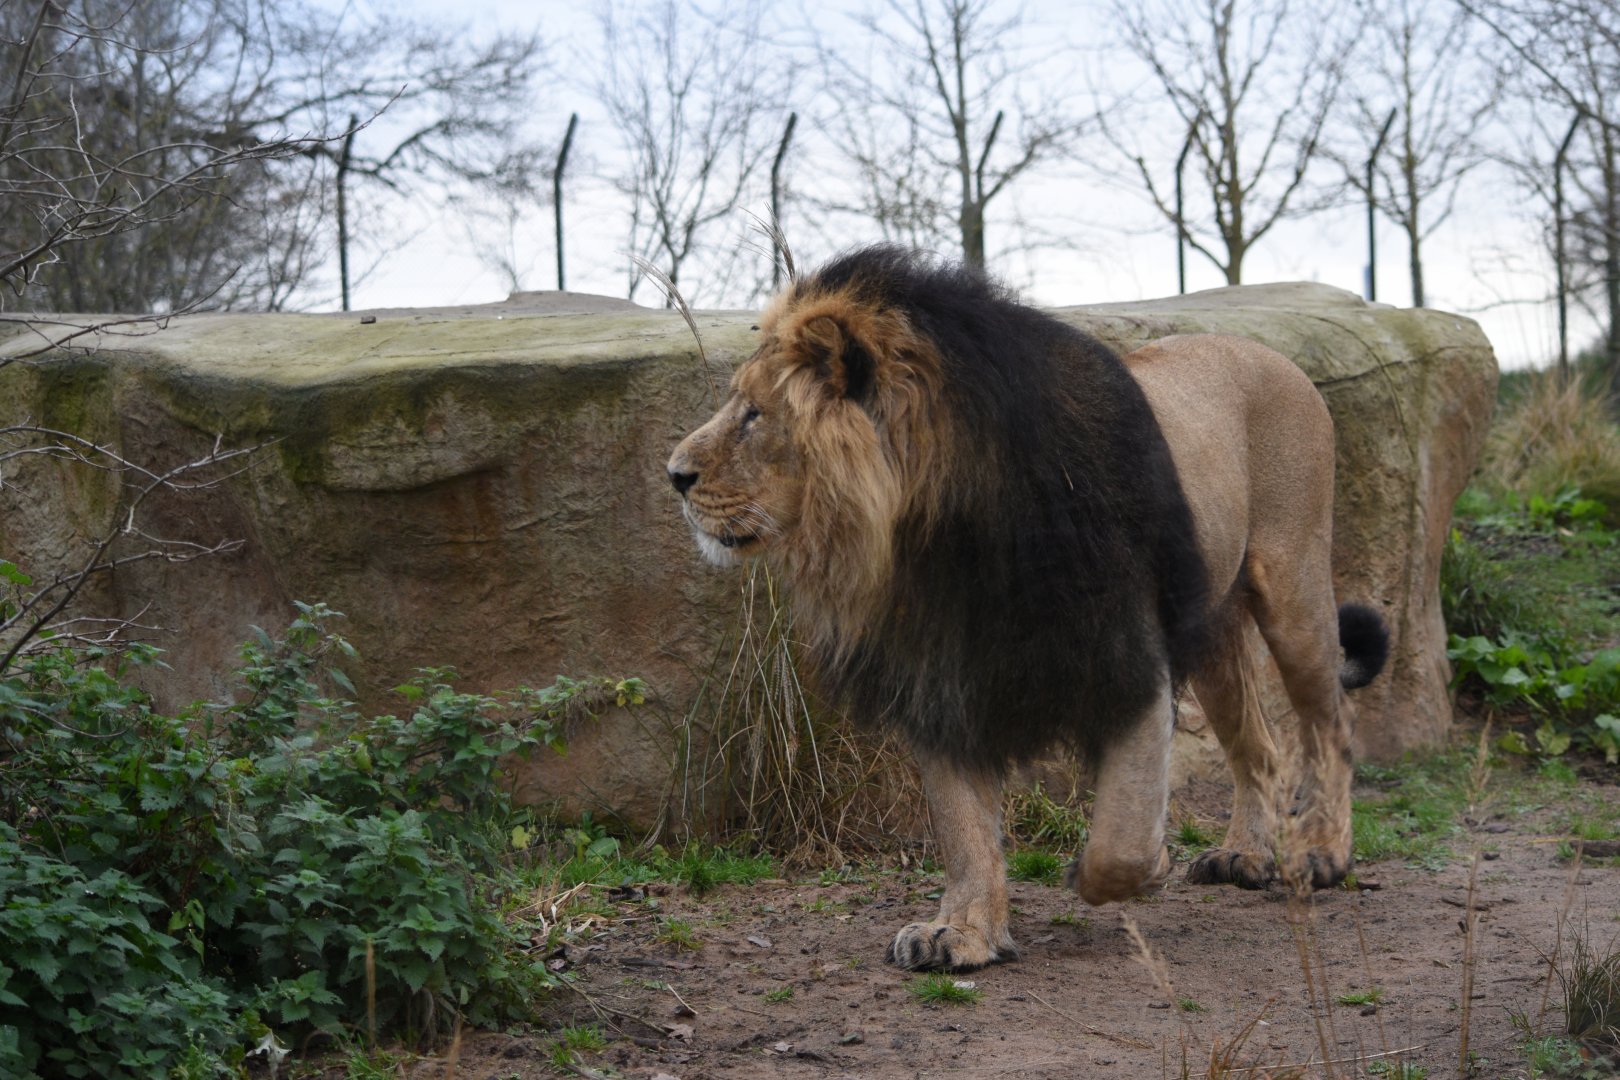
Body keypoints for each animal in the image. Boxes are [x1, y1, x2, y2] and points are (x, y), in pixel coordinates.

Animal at [666, 245, 1389, 972]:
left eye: (755, 414)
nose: (673, 474)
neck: (939, 536)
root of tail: (1273, 356)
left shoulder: (1127, 657)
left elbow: (1121, 833)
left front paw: (1129, 871)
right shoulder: (940, 676)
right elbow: (963, 827)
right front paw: (960, 932)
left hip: (1292, 584)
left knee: (1332, 721)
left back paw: (1323, 854)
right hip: (1211, 630)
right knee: (1261, 745)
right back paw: (1244, 855)